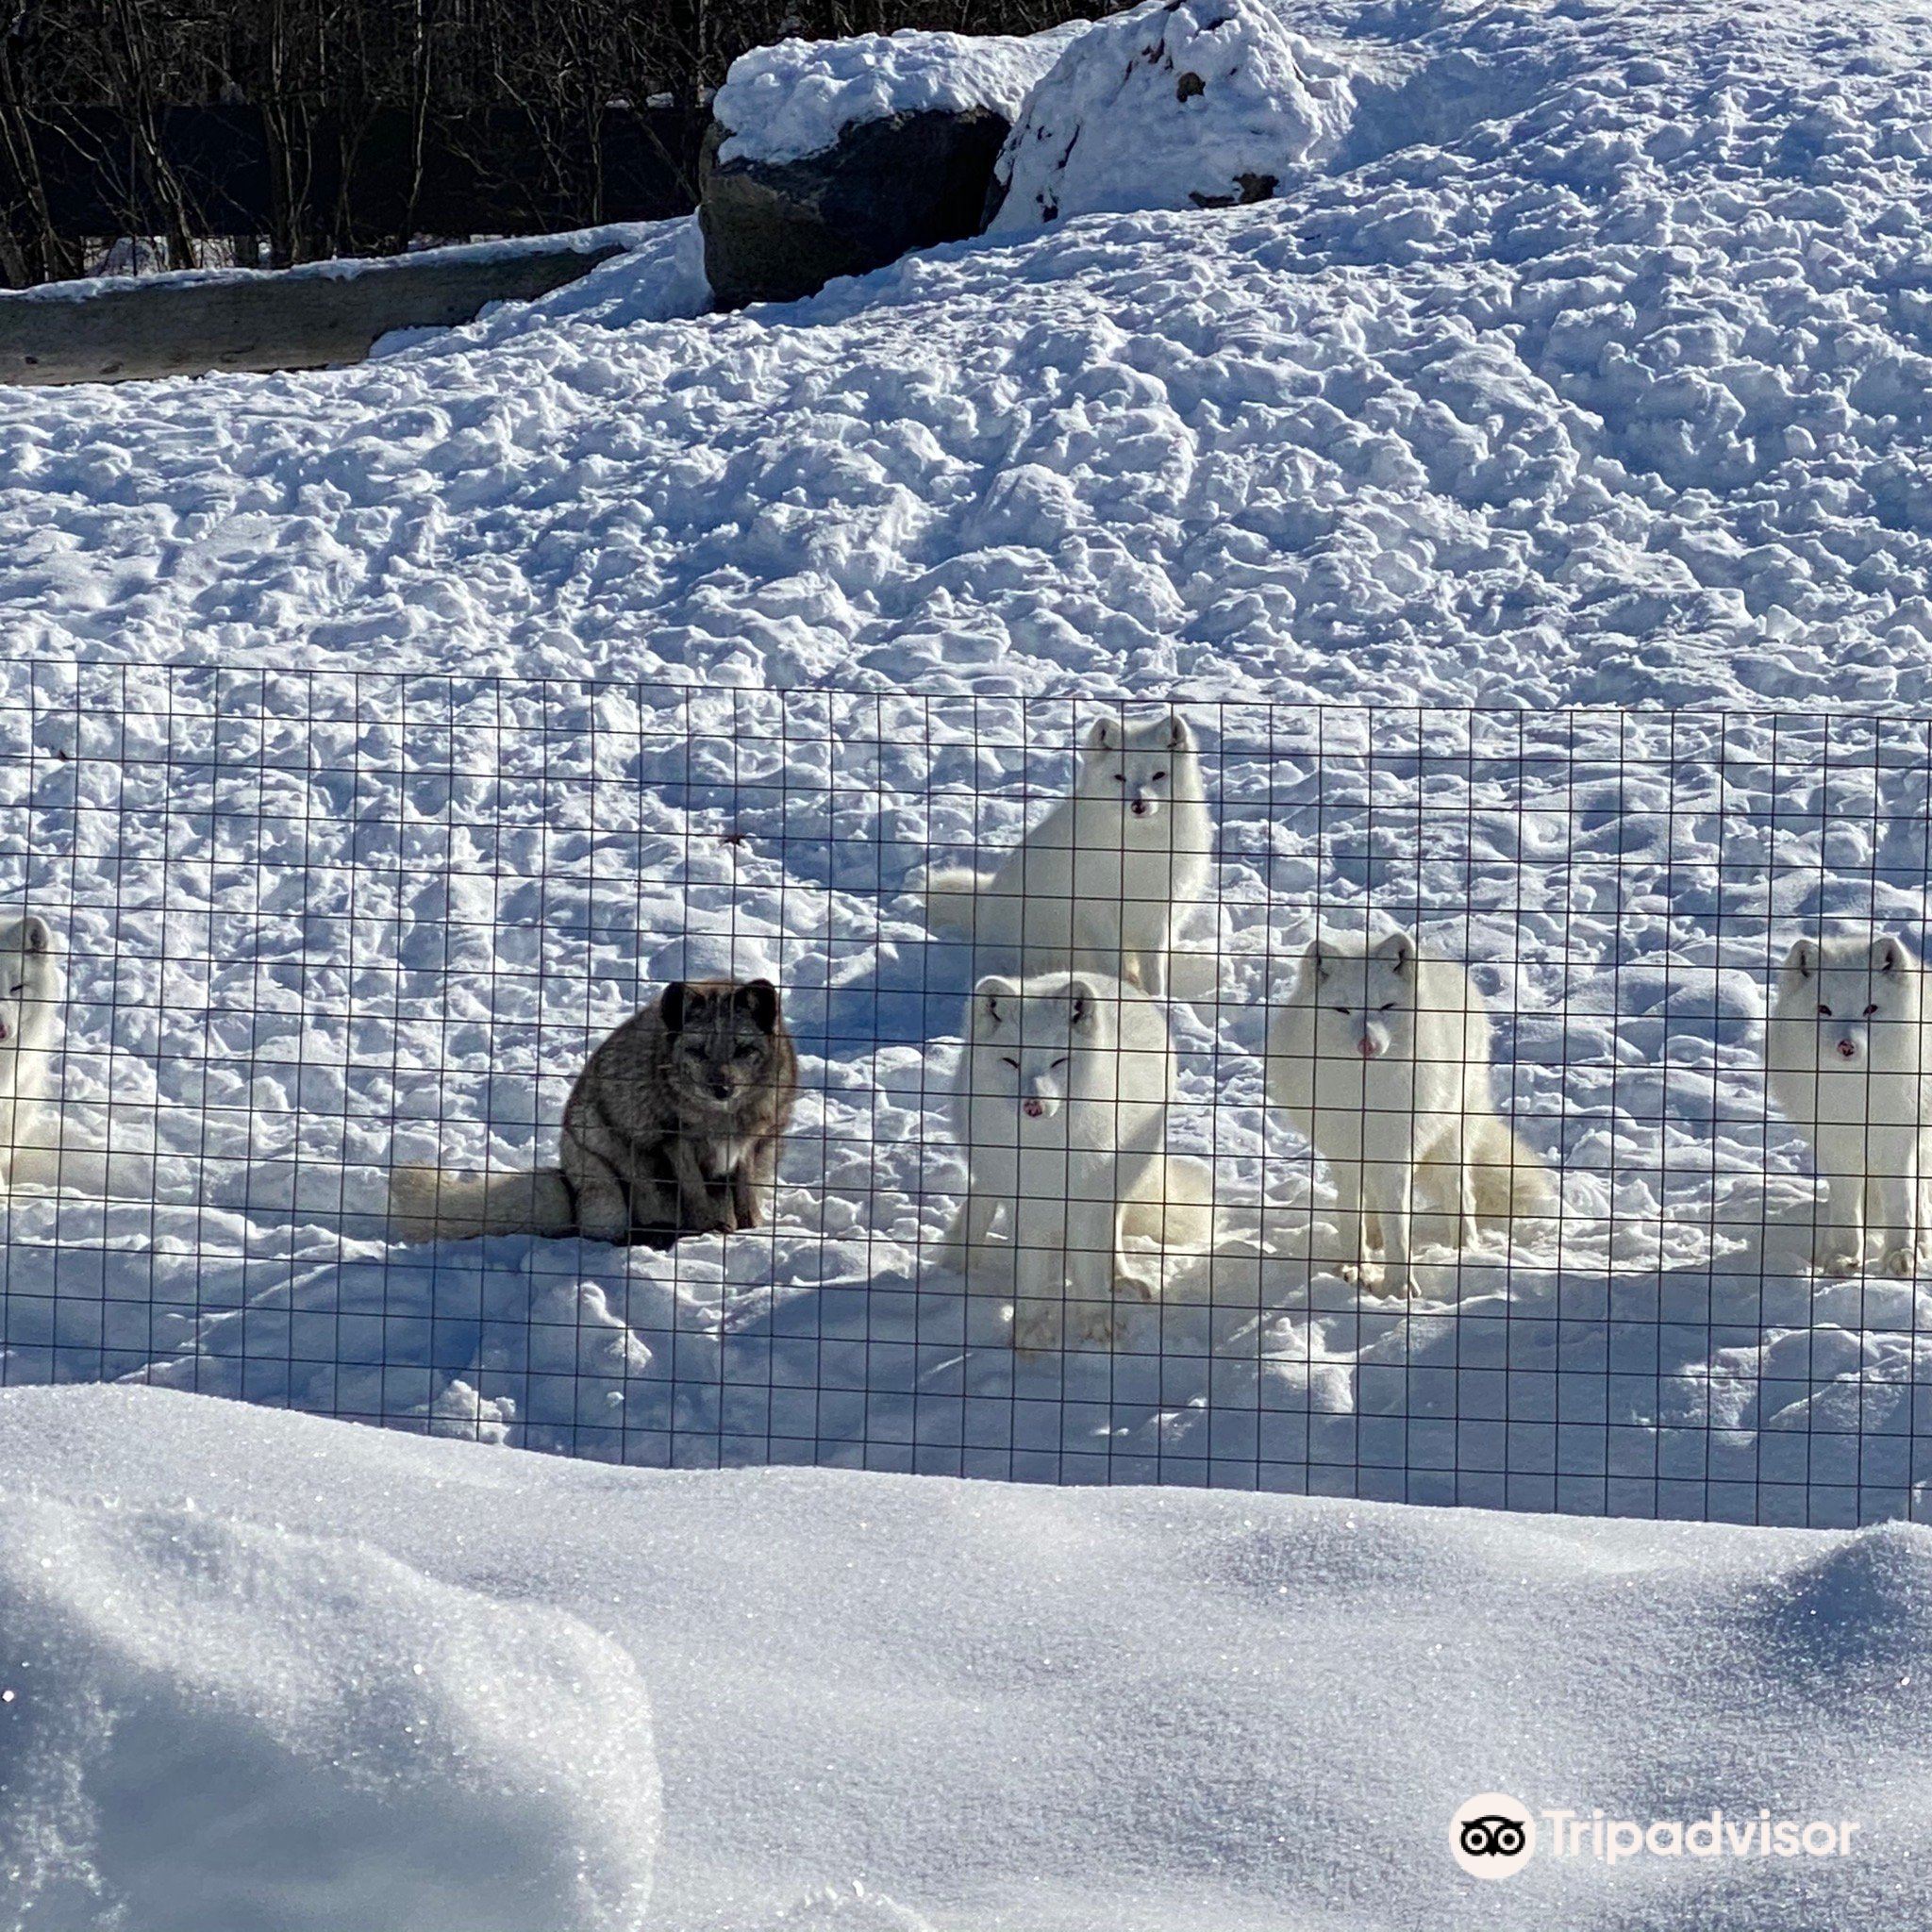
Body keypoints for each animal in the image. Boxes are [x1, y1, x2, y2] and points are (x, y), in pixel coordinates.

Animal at [388, 974, 795, 1243]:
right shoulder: (669, 1137)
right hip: (609, 1177)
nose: (722, 1088)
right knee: (606, 1230)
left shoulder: (752, 1143)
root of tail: (569, 1184)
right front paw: (710, 1229)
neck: (720, 1119)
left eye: (743, 1049)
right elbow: (694, 1190)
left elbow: (744, 1191)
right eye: (697, 1051)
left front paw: (750, 1229)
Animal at [915, 718, 1205, 1004]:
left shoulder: (1159, 914)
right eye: (1119, 777)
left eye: (1159, 775)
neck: (1138, 849)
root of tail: (986, 901)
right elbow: (1113, 964)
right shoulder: (1098, 913)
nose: (1138, 805)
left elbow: (1154, 968)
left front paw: (1157, 998)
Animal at [942, 974, 1213, 1352]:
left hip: (1125, 1176)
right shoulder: (1025, 1200)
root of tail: (1107, 979)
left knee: (1113, 1227)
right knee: (982, 1195)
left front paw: (1097, 1322)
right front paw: (1029, 1329)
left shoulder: (1089, 1197)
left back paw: (1118, 1277)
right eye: (1010, 1061)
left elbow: (1088, 1260)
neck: (1047, 1149)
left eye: (1059, 1062)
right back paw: (959, 1258)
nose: (1033, 1106)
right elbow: (1030, 1268)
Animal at [1267, 931, 1553, 1298]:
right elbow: (1350, 1213)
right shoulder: (1344, 1152)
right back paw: (1374, 1237)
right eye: (1343, 1009)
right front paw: (1356, 1268)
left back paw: (1464, 1246)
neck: (1365, 1095)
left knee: (1461, 1191)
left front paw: (1399, 1287)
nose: (1367, 1046)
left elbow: (1399, 1223)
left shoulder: (1398, 1153)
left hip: (1452, 1134)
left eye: (1387, 1007)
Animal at [1769, 927, 1932, 1274]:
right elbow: (1846, 1209)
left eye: (1870, 1009)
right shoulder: (1835, 1143)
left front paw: (1901, 1254)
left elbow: (1902, 1203)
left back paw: (1923, 1243)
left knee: (1921, 1197)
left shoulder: (1898, 1141)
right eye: (1824, 1009)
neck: (1857, 1093)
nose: (1846, 1046)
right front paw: (1843, 1257)